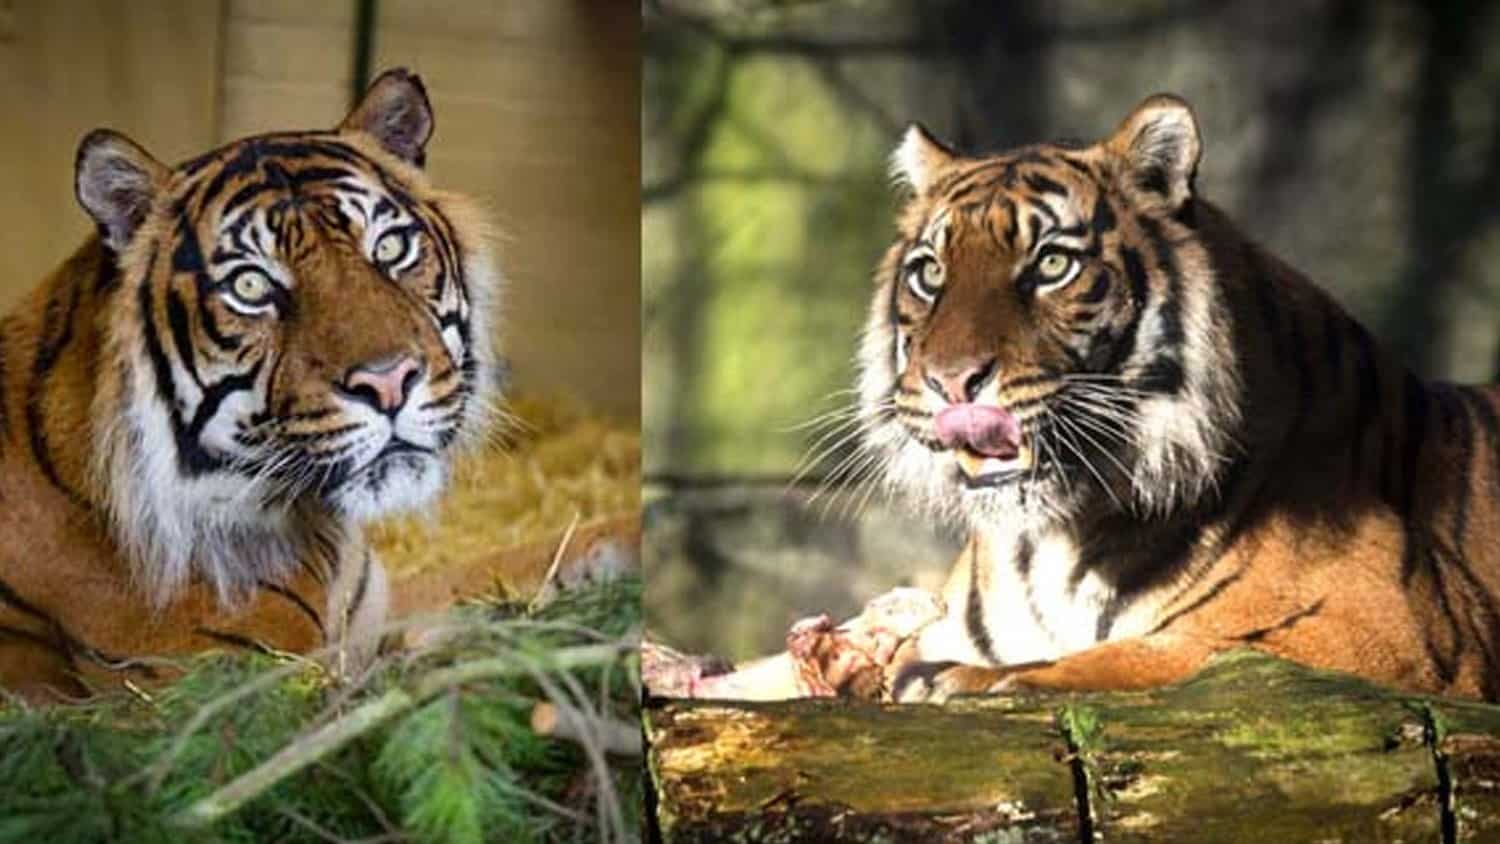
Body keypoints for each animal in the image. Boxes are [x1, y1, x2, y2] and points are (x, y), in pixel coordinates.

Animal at [651, 94, 1500, 707]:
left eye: (1051, 264)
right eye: (930, 272)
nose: (952, 380)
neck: (1050, 542)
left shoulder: (1394, 637)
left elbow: (1157, 655)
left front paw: (956, 678)